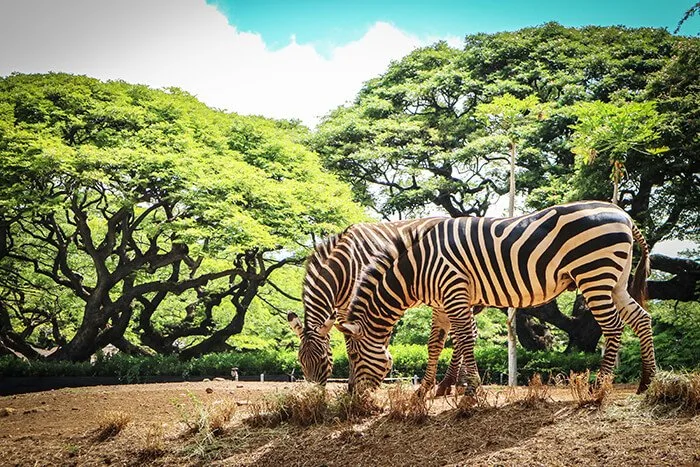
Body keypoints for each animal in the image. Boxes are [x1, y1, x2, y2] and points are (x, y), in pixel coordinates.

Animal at [288, 219, 474, 394]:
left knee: (464, 334)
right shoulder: (342, 309)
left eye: (323, 358)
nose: (313, 395)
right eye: (300, 361)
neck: (345, 265)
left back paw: (457, 383)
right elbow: (350, 344)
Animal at [340, 201, 656, 394]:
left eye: (353, 355)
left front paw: (471, 390)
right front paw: (425, 390)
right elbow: (435, 345)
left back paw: (599, 387)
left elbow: (464, 340)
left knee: (613, 327)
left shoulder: (454, 290)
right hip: (616, 280)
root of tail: (623, 214)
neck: (419, 268)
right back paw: (646, 383)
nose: (354, 395)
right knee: (641, 319)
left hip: (594, 274)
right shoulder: (443, 303)